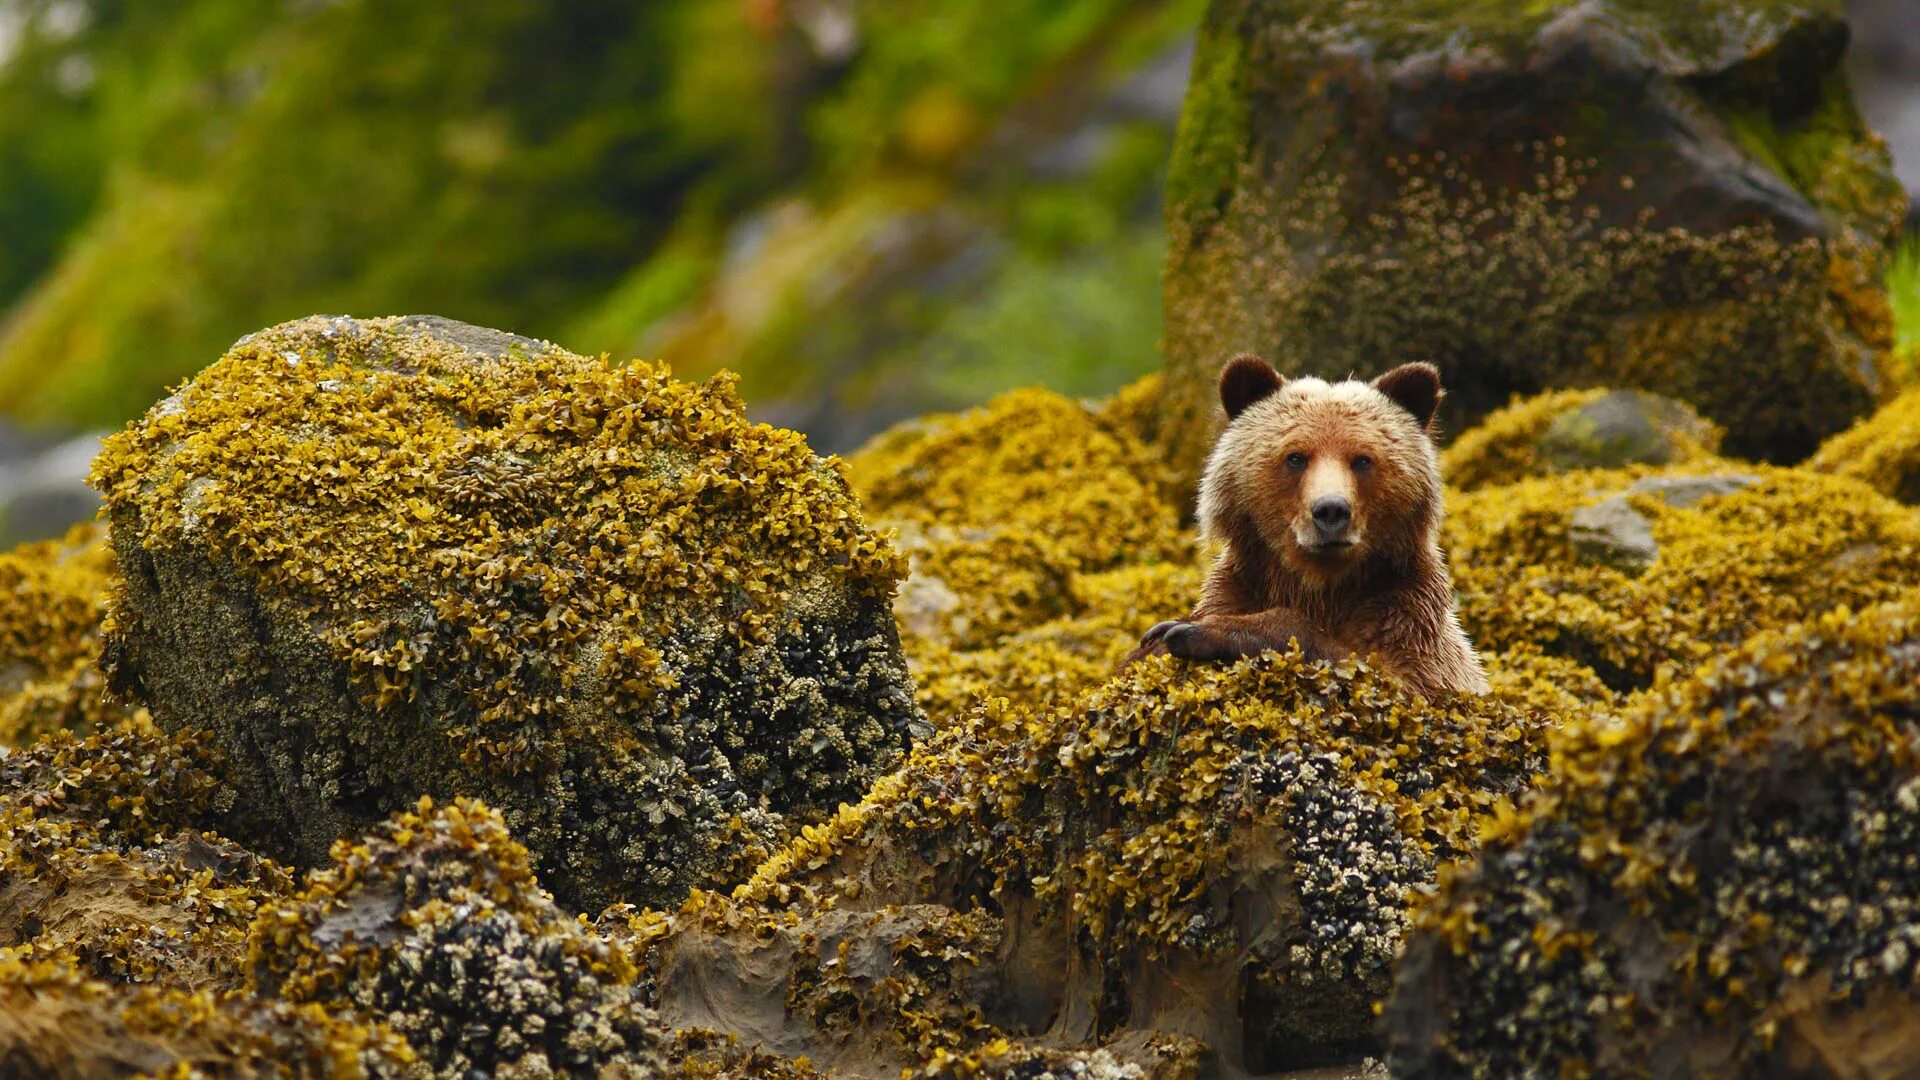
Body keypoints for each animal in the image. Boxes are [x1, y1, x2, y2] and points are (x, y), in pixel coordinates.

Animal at [1128, 353, 1489, 699]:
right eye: (1296, 457)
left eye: (1362, 459)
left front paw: (1191, 631)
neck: (1321, 586)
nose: (1331, 510)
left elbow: (1388, 674)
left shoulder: (1408, 617)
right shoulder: (1241, 585)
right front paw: (1159, 636)